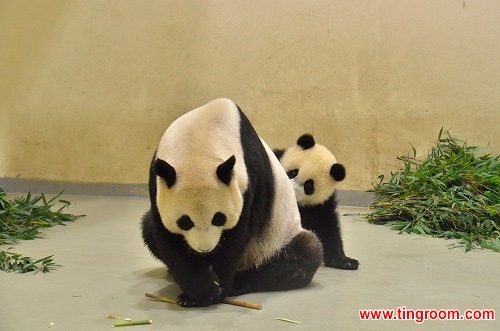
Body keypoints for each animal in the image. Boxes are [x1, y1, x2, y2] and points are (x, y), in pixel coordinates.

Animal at [140, 98, 324, 308]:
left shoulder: (251, 180)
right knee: (147, 227)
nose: (205, 249)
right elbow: (169, 239)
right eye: (185, 221)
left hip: (274, 242)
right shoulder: (157, 183)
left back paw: (239, 283)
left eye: (218, 218)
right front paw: (201, 291)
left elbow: (236, 238)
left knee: (304, 254)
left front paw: (213, 290)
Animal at [276, 135, 358, 272]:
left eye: (309, 186)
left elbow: (328, 229)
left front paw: (346, 261)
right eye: (293, 172)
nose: (290, 190)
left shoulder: (320, 206)